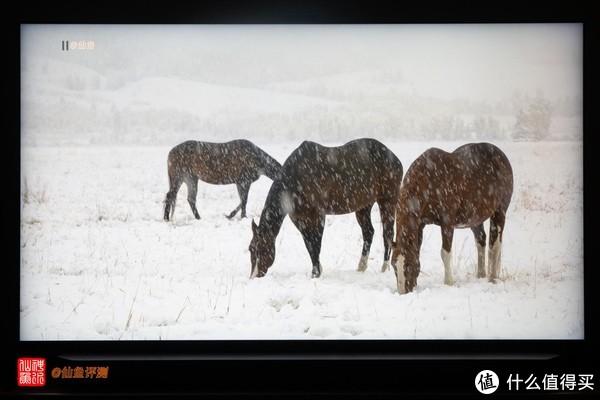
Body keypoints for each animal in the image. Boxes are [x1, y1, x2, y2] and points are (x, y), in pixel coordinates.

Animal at [246, 138, 406, 278]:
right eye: (251, 249)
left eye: (262, 248)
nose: (254, 276)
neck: (297, 178)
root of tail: (395, 158)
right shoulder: (300, 219)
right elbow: (309, 245)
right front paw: (317, 270)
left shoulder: (318, 216)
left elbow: (316, 244)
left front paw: (316, 273)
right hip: (363, 207)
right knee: (368, 232)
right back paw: (361, 266)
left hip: (387, 201)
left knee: (387, 233)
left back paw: (384, 268)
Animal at [392, 143, 512, 294]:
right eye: (393, 265)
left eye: (408, 264)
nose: (403, 292)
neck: (429, 180)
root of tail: (501, 155)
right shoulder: (420, 225)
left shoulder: (447, 223)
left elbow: (445, 253)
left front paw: (448, 282)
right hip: (475, 219)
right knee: (481, 240)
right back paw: (481, 275)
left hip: (499, 212)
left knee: (495, 246)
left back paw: (492, 277)